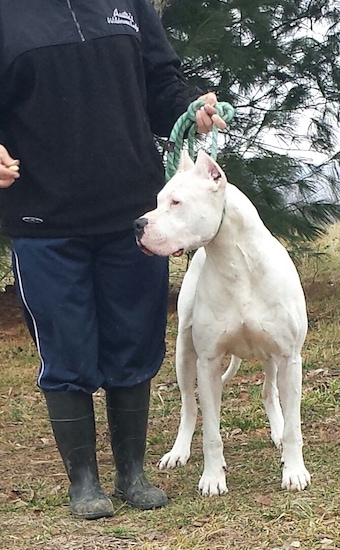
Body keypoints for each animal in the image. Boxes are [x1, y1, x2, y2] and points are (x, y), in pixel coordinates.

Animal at [135, 150, 310, 496]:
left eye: (176, 202)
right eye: (159, 201)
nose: (138, 224)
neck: (237, 264)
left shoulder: (289, 357)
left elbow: (295, 427)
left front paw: (294, 471)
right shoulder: (208, 362)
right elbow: (212, 433)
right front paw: (213, 478)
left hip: (272, 358)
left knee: (269, 392)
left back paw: (278, 433)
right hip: (183, 354)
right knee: (189, 406)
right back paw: (179, 451)